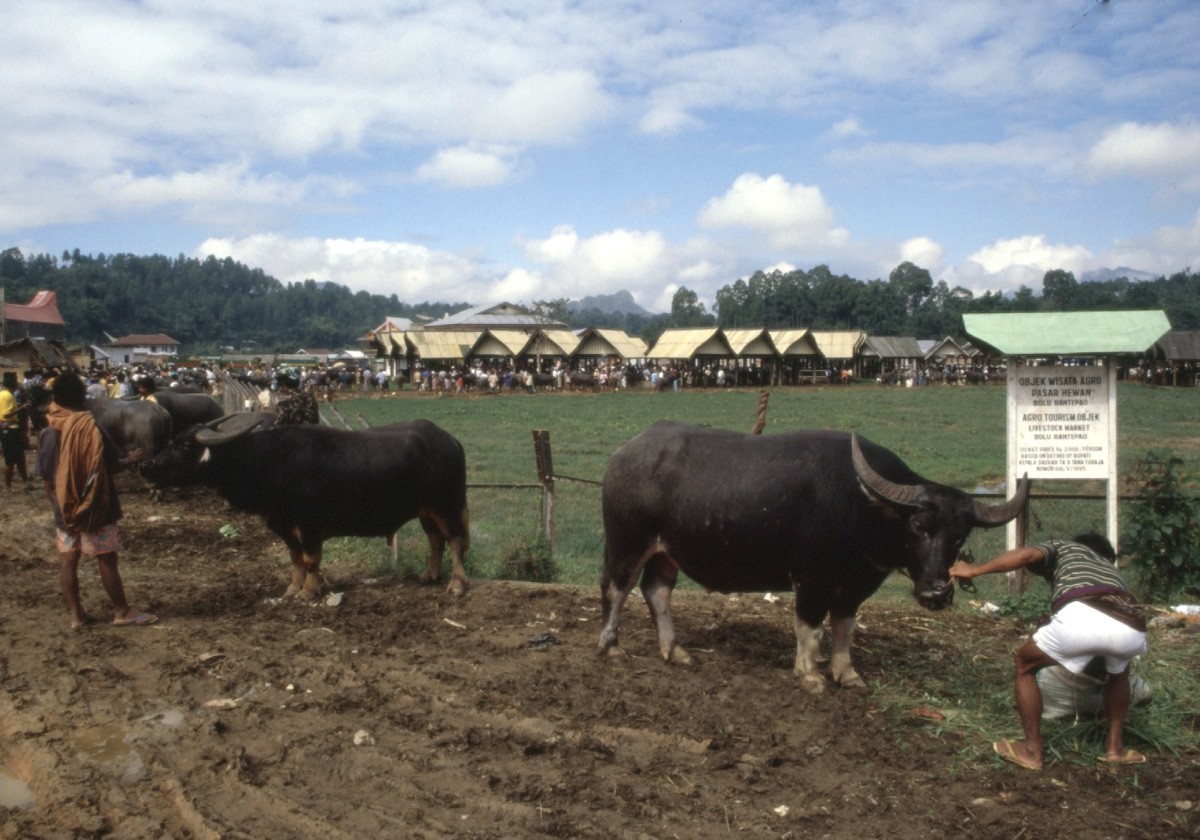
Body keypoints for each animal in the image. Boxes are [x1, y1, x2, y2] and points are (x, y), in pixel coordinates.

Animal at [142, 412, 470, 597]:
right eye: (173, 439)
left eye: (185, 445)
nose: (147, 467)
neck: (267, 461)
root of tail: (449, 441)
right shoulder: (284, 524)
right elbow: (295, 559)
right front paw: (292, 588)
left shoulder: (311, 525)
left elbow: (311, 560)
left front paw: (309, 592)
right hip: (427, 510)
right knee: (435, 540)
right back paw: (429, 576)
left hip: (448, 505)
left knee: (455, 541)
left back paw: (457, 585)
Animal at [595, 422, 1027, 691]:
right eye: (919, 526)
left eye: (960, 535)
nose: (936, 592)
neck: (862, 507)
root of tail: (622, 456)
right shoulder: (811, 579)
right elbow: (810, 627)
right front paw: (810, 675)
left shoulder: (855, 587)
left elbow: (844, 629)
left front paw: (846, 674)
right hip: (628, 543)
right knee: (616, 588)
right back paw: (610, 646)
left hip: (664, 553)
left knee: (656, 592)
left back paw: (675, 651)